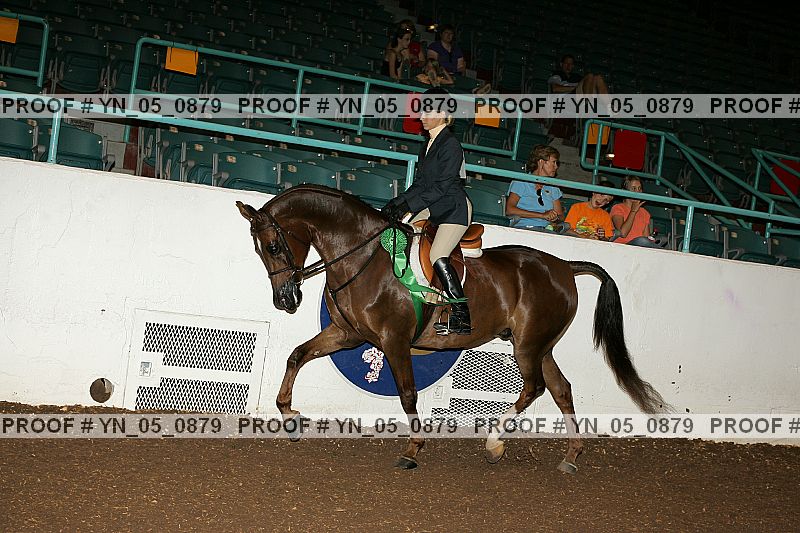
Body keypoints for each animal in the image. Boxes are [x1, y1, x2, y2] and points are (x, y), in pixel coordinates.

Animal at [236, 184, 668, 472]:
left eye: (273, 246)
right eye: (257, 250)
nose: (285, 299)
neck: (363, 255)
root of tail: (563, 265)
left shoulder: (394, 341)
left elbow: (408, 394)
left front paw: (413, 449)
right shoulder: (347, 335)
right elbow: (297, 355)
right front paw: (289, 413)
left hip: (528, 345)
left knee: (535, 389)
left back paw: (495, 443)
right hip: (540, 345)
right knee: (561, 389)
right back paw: (571, 456)